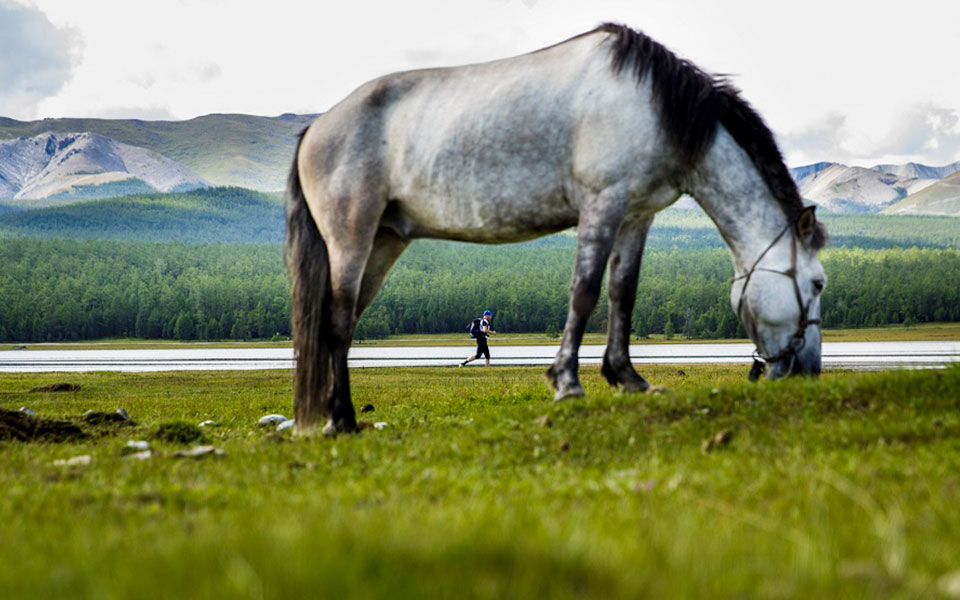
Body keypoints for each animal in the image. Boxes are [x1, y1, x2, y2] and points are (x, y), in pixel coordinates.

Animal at [284, 23, 824, 434]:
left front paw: (628, 379)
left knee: (348, 320)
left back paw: (337, 418)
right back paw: (343, 420)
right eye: (818, 283)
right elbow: (584, 292)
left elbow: (622, 294)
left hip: (385, 241)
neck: (656, 107)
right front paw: (567, 382)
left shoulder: (635, 214)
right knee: (337, 319)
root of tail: (315, 130)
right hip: (351, 236)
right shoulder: (602, 203)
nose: (810, 370)